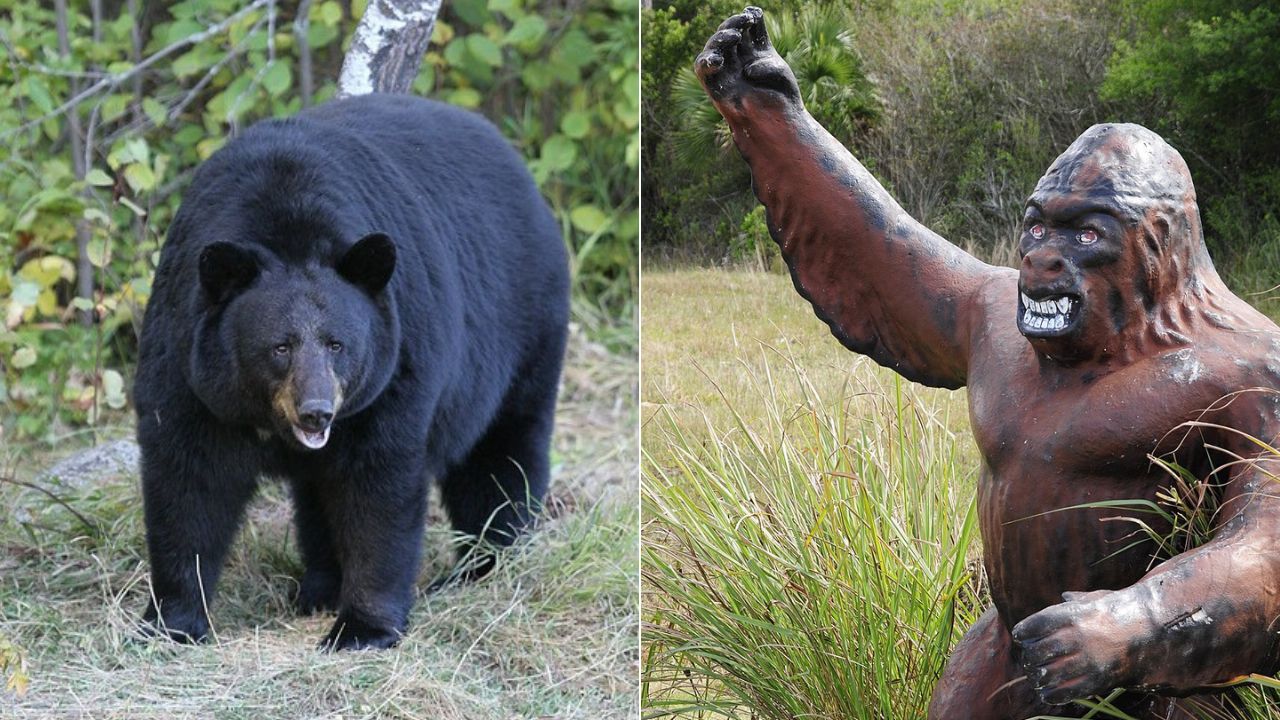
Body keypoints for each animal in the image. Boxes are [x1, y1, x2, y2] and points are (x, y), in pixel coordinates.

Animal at [132, 93, 570, 651]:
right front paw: (172, 622)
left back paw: (486, 565)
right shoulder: (187, 363)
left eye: (337, 344)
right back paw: (318, 588)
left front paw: (361, 628)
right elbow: (188, 481)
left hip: (522, 332)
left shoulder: (394, 368)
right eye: (280, 346)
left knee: (499, 456)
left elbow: (377, 487)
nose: (316, 412)